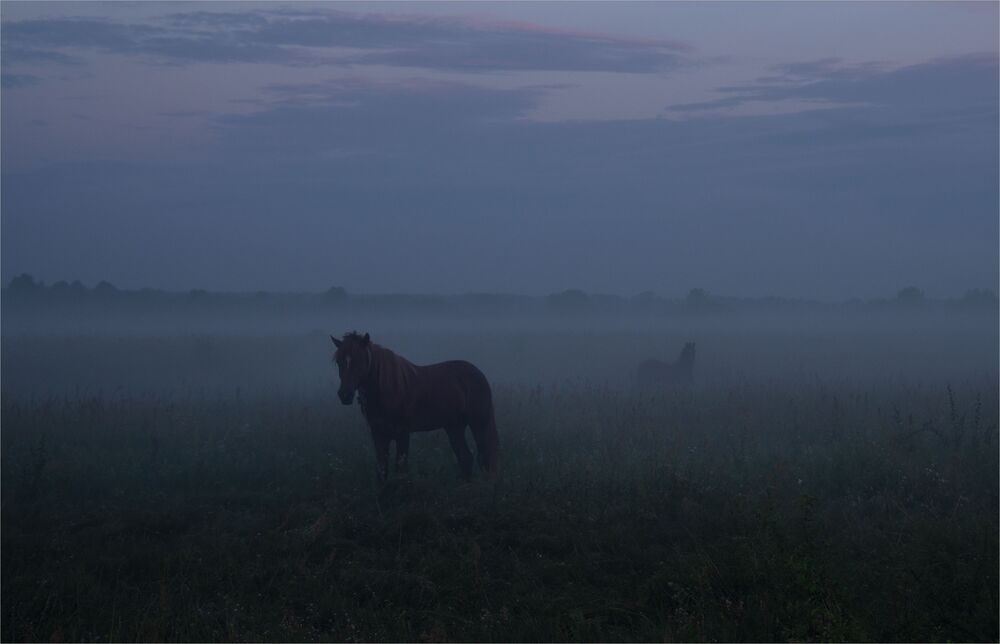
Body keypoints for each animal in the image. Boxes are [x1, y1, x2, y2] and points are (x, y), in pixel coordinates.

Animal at [331, 331, 499, 482]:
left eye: (360, 361)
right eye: (339, 362)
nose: (344, 395)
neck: (388, 389)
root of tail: (478, 373)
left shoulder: (403, 434)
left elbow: (401, 470)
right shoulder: (378, 435)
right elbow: (382, 470)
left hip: (479, 423)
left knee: (485, 457)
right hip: (454, 427)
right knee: (465, 457)